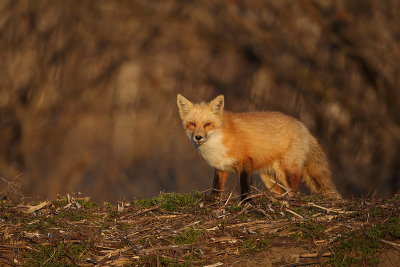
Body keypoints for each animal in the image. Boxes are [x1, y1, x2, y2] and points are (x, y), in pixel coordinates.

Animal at [177, 95, 340, 200]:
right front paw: (213, 205)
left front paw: (246, 204)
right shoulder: (221, 167)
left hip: (286, 170)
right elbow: (216, 189)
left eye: (207, 124)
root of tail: (303, 126)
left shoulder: (246, 163)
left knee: (294, 189)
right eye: (192, 124)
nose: (198, 137)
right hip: (269, 178)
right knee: (281, 191)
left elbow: (245, 190)